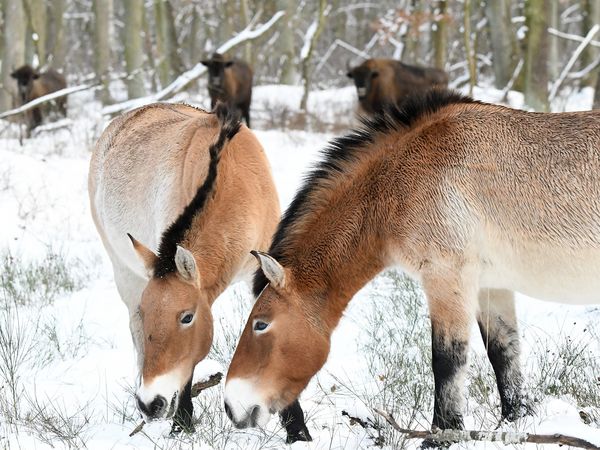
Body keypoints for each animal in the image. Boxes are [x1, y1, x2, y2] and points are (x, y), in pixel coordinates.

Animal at [90, 101, 310, 440]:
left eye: (186, 317)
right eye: (148, 313)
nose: (150, 403)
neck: (233, 179)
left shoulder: (265, 271)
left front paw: (297, 431)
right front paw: (182, 424)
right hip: (124, 273)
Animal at [224, 89, 600, 444]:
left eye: (260, 324)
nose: (231, 406)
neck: (398, 179)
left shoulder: (446, 277)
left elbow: (446, 360)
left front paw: (441, 435)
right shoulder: (491, 285)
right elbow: (503, 353)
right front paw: (515, 424)